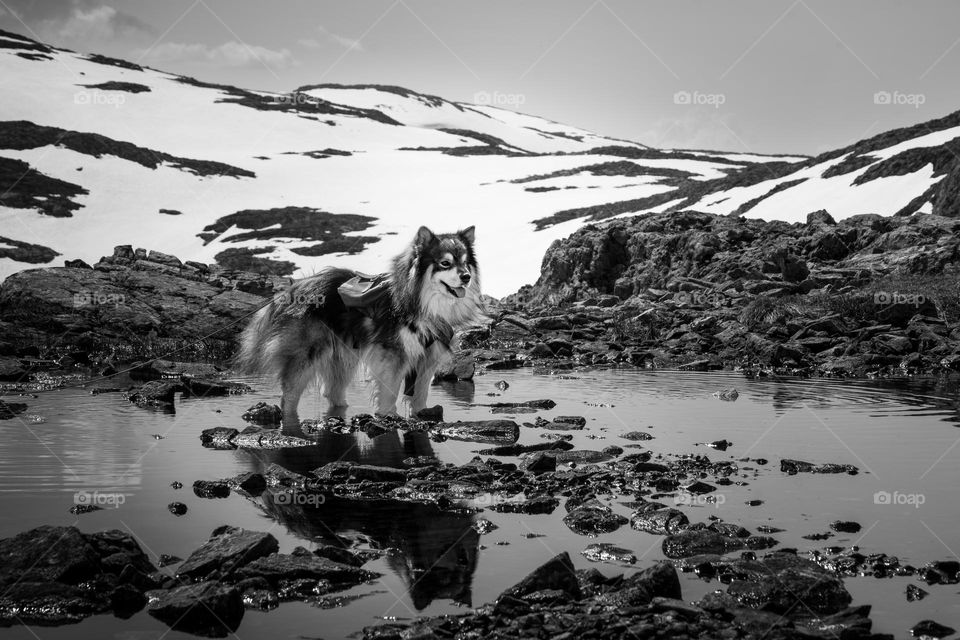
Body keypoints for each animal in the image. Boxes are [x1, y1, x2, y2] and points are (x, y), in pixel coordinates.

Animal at [236, 228, 484, 418]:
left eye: (465, 263)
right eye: (445, 263)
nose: (466, 277)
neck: (424, 303)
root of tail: (293, 289)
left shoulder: (427, 357)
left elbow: (420, 393)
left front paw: (420, 413)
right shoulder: (393, 355)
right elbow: (390, 392)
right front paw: (388, 415)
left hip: (342, 357)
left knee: (332, 393)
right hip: (306, 355)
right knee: (289, 396)